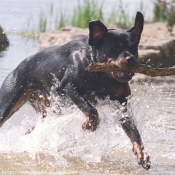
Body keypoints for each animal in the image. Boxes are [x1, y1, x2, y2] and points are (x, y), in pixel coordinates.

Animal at [0, 11, 150, 170]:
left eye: (134, 47)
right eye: (114, 48)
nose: (131, 59)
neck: (102, 76)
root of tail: (18, 67)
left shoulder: (122, 103)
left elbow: (134, 131)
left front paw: (142, 154)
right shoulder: (68, 86)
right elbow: (91, 109)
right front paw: (88, 126)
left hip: (48, 109)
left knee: (36, 127)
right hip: (8, 101)